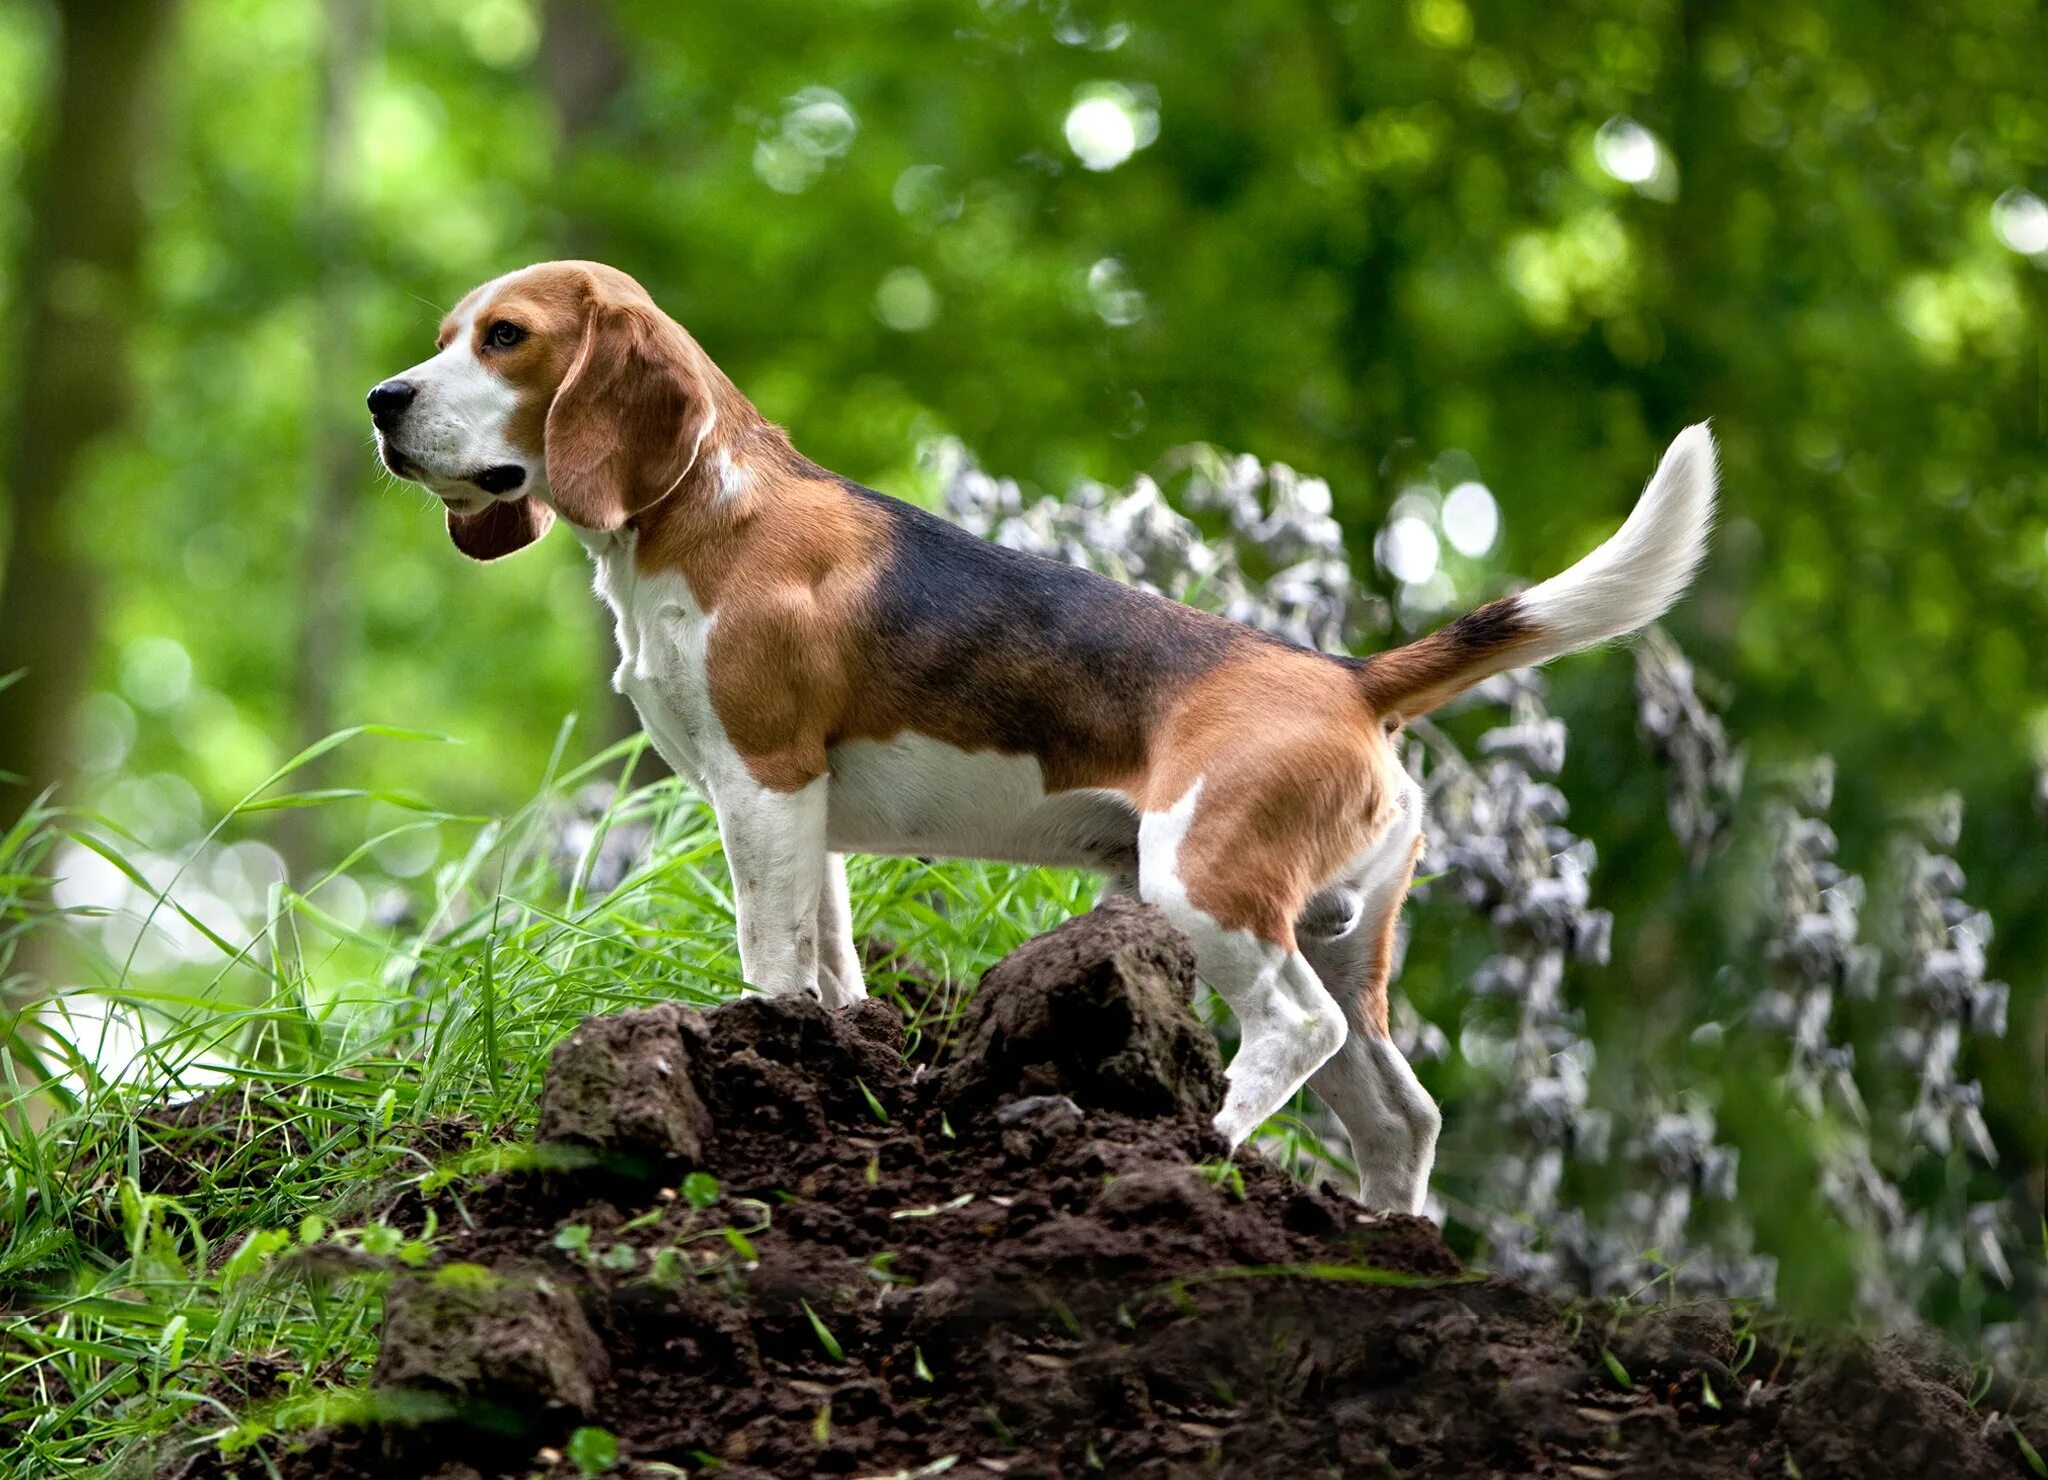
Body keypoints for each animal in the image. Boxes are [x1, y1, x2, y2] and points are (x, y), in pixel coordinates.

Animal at [368, 264, 1712, 1211]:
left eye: (504, 337)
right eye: (444, 333)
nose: (385, 401)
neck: (709, 502)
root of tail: (1347, 676)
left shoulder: (763, 786)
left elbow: (769, 956)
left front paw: (752, 1046)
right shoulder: (810, 820)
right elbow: (832, 963)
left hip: (1205, 887)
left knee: (1294, 1032)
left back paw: (1193, 1144)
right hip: (1341, 940)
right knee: (1398, 1113)